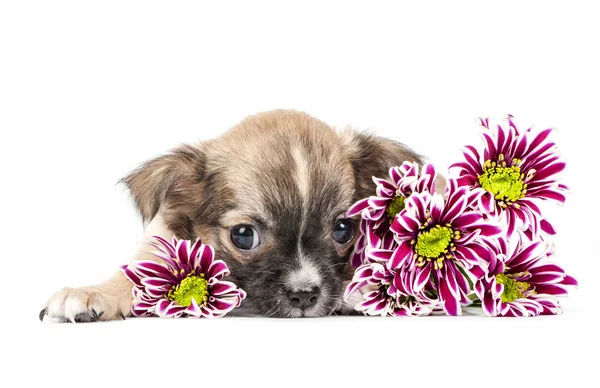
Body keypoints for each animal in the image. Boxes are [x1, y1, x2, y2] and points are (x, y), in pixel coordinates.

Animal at [39, 109, 428, 322]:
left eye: (344, 230)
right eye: (244, 236)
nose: (304, 296)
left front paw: (365, 291)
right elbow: (134, 276)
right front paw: (93, 294)